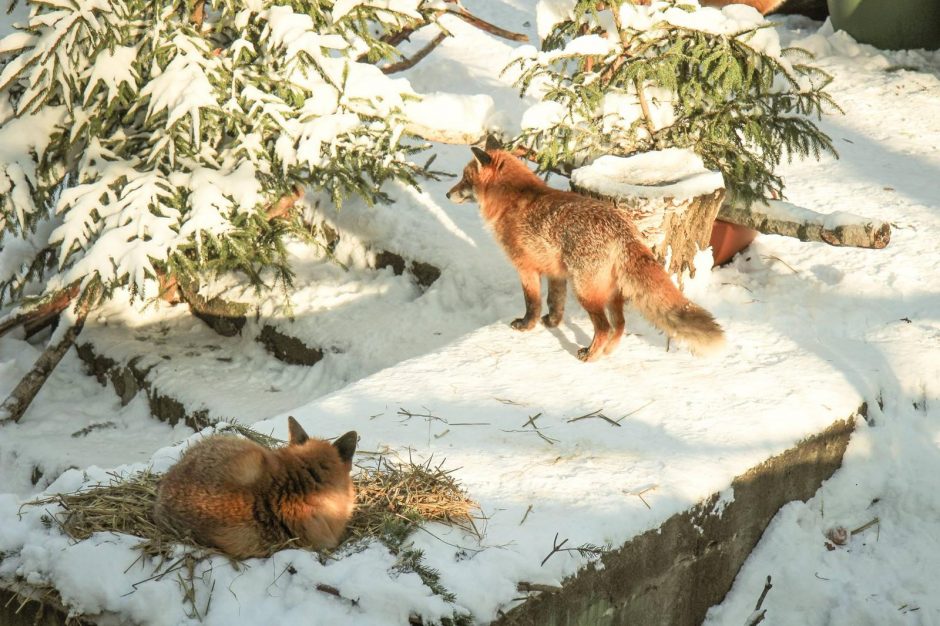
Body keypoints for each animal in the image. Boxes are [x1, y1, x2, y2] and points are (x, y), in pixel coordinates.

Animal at [446, 147, 720, 360]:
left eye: (465, 179)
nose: (447, 194)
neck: (512, 197)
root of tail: (623, 228)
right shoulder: (555, 272)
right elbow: (554, 303)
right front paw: (552, 323)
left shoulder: (526, 268)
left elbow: (532, 303)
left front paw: (526, 326)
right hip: (610, 292)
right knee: (619, 325)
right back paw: (606, 352)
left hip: (586, 292)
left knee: (604, 327)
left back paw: (590, 355)